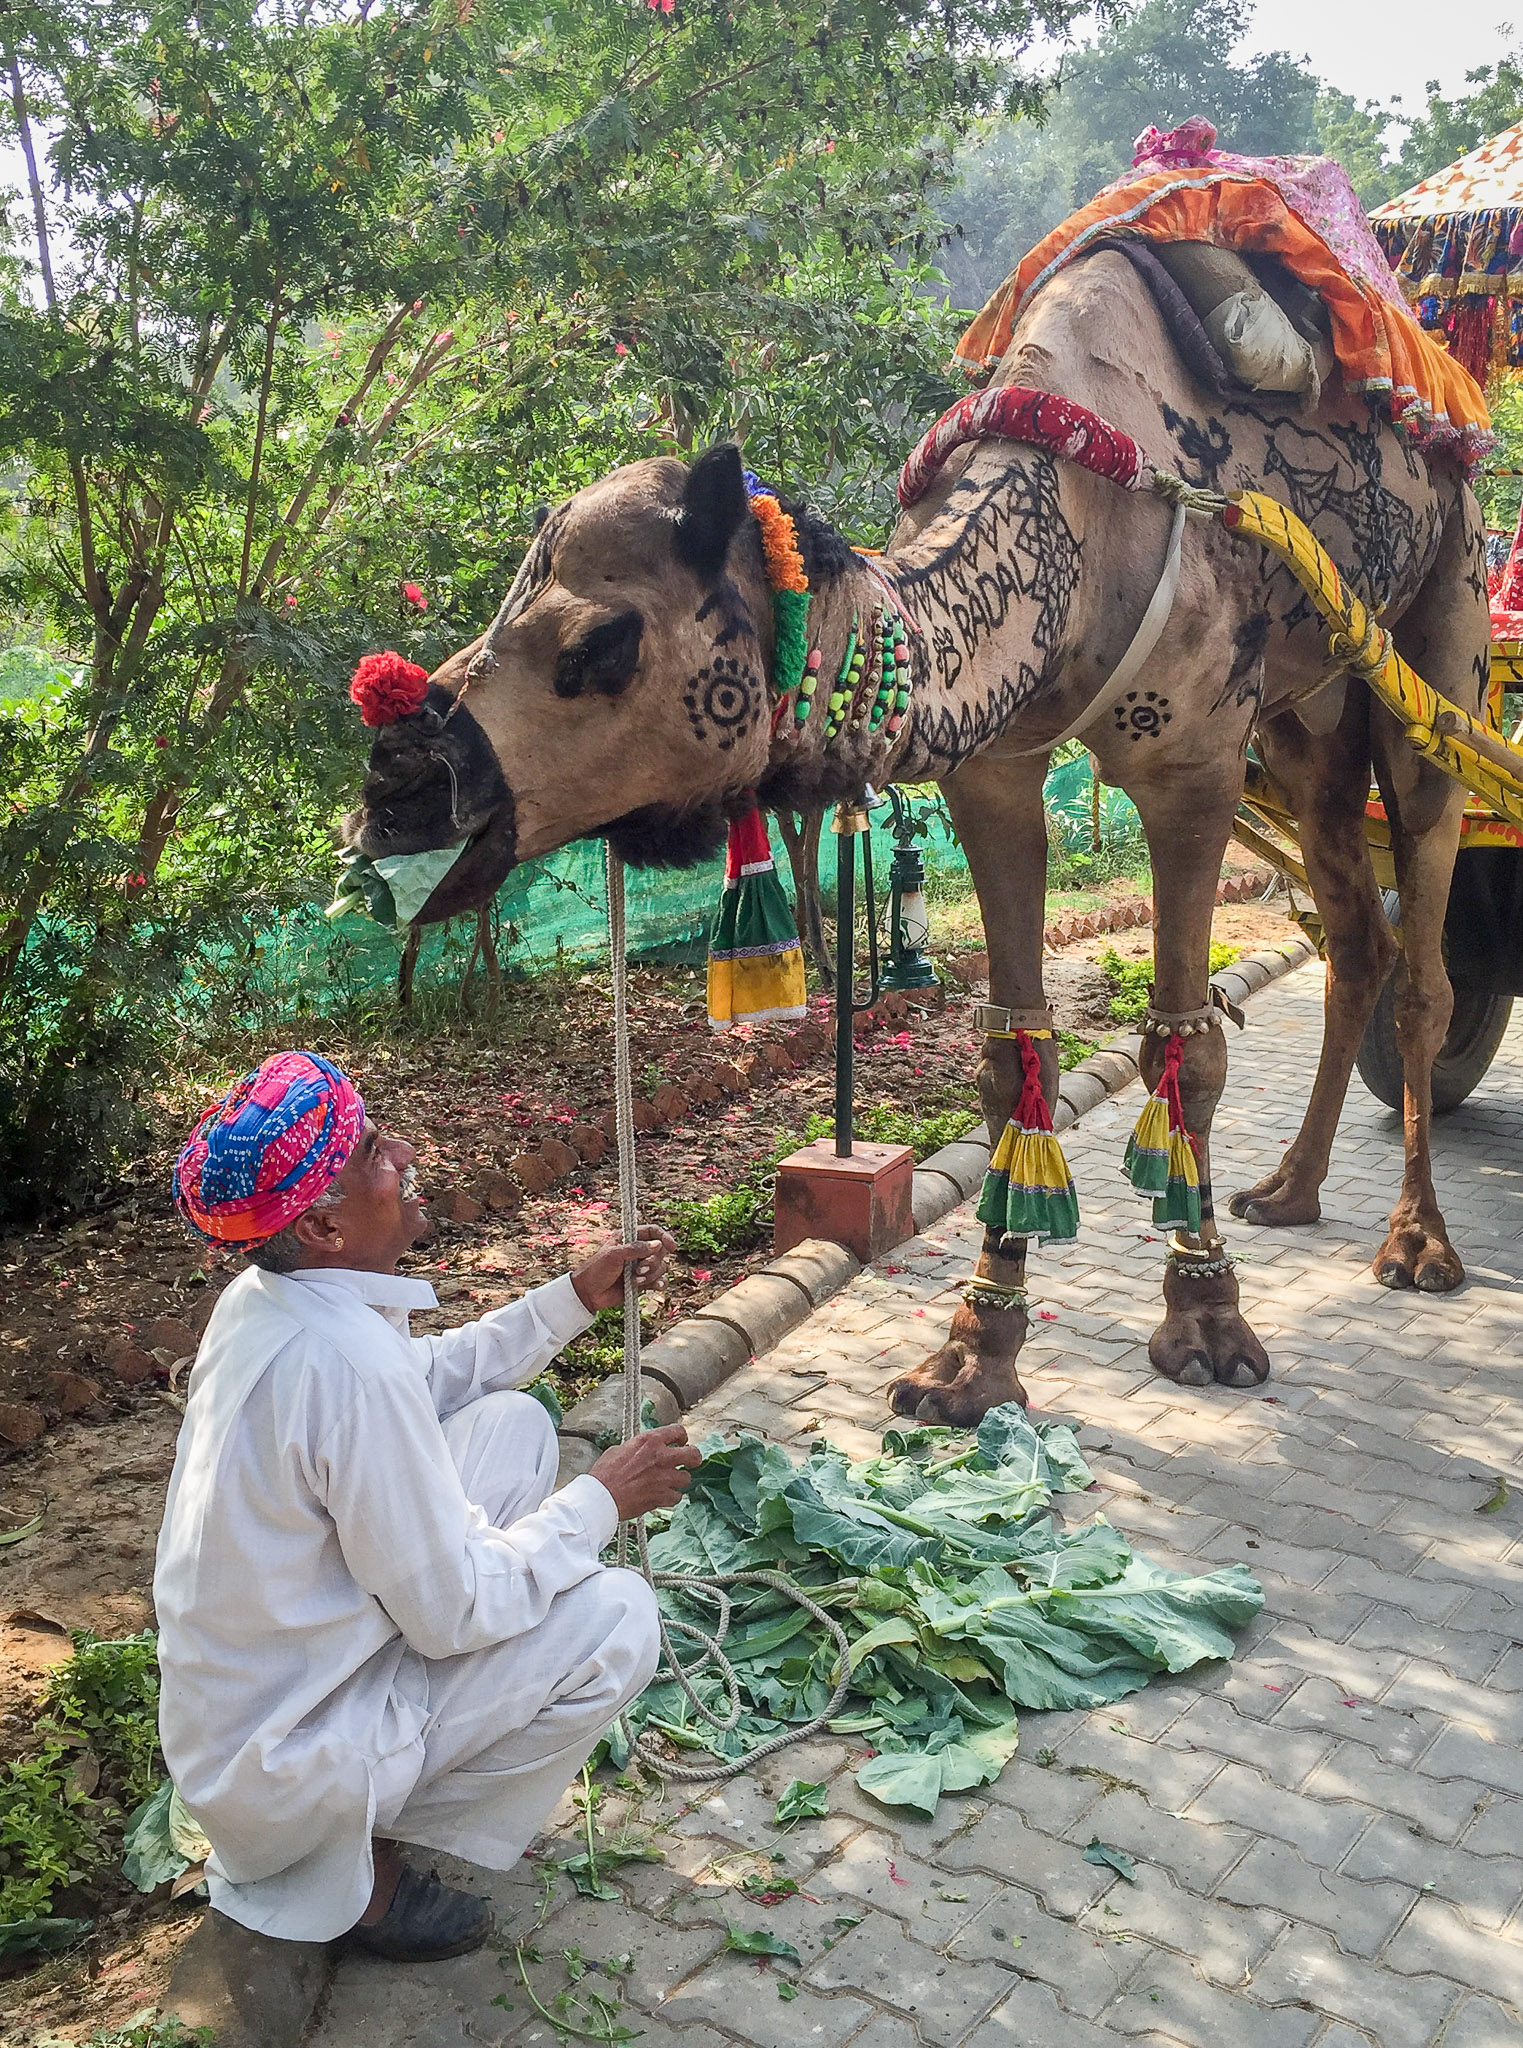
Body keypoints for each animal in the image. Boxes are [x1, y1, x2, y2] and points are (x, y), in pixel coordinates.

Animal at [341, 136, 1490, 1433]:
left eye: (600, 643)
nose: (399, 783)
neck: (1066, 525)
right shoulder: (995, 769)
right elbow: (1006, 1053)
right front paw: (969, 1359)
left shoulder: (1190, 759)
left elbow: (1184, 1044)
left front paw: (1206, 1323)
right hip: (1300, 719)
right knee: (1352, 928)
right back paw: (1288, 1187)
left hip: (1437, 624)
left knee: (1424, 939)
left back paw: (1415, 1244)